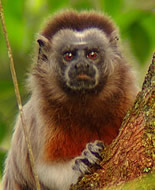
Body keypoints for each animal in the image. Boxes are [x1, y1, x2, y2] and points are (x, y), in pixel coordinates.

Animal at [2, 10, 137, 190]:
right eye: (69, 56)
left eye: (92, 55)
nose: (81, 65)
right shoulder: (42, 114)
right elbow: (44, 171)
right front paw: (83, 161)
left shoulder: (128, 95)